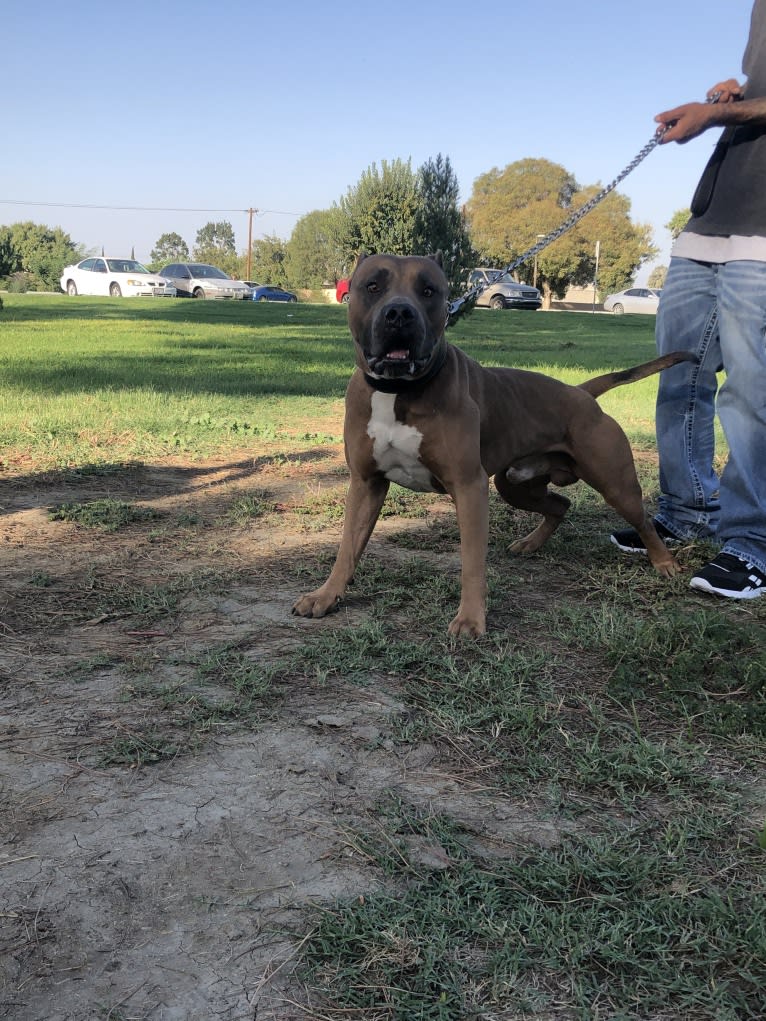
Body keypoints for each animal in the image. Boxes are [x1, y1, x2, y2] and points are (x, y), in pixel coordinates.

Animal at [290, 251, 694, 633]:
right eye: (373, 286)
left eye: (429, 291)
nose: (400, 312)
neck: (398, 391)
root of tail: (581, 393)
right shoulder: (366, 484)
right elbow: (347, 548)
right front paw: (326, 595)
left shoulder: (469, 488)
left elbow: (472, 561)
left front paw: (470, 619)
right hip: (513, 484)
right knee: (560, 504)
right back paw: (531, 543)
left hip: (614, 484)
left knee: (642, 521)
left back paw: (665, 562)